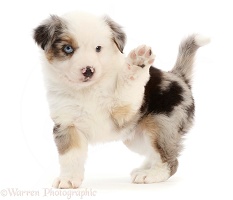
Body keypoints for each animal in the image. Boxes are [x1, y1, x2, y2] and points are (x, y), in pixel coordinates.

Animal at [32, 11, 209, 189]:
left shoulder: (125, 111)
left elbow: (128, 86)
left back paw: (150, 174)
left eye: (98, 48)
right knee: (156, 153)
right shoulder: (67, 124)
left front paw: (139, 62)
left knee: (170, 160)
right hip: (137, 139)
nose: (88, 70)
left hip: (161, 126)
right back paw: (145, 168)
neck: (88, 90)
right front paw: (68, 178)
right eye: (68, 48)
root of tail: (179, 77)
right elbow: (70, 156)